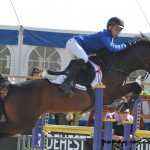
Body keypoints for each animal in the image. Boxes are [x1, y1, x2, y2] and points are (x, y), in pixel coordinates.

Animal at [0, 32, 149, 139]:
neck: (116, 65)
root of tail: (12, 88)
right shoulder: (111, 92)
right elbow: (136, 87)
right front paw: (124, 106)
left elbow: (135, 87)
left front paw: (122, 105)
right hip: (22, 122)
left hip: (19, 124)